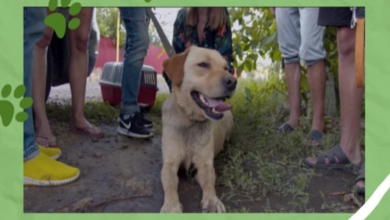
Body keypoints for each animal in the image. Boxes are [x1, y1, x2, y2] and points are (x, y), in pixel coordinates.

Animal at [160, 46, 236, 213]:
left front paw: (212, 201)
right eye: (203, 65)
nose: (233, 81)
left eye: (226, 68)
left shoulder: (204, 164)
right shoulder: (169, 164)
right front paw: (171, 206)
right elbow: (170, 185)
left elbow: (209, 183)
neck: (190, 121)